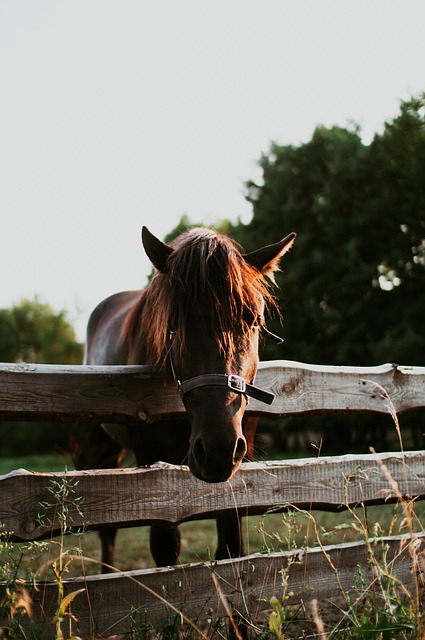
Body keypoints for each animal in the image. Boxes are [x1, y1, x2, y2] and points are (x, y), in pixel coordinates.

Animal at [70, 225, 294, 568]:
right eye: (174, 323)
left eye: (252, 319)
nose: (218, 448)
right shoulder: (150, 461)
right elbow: (165, 550)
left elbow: (231, 547)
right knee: (108, 532)